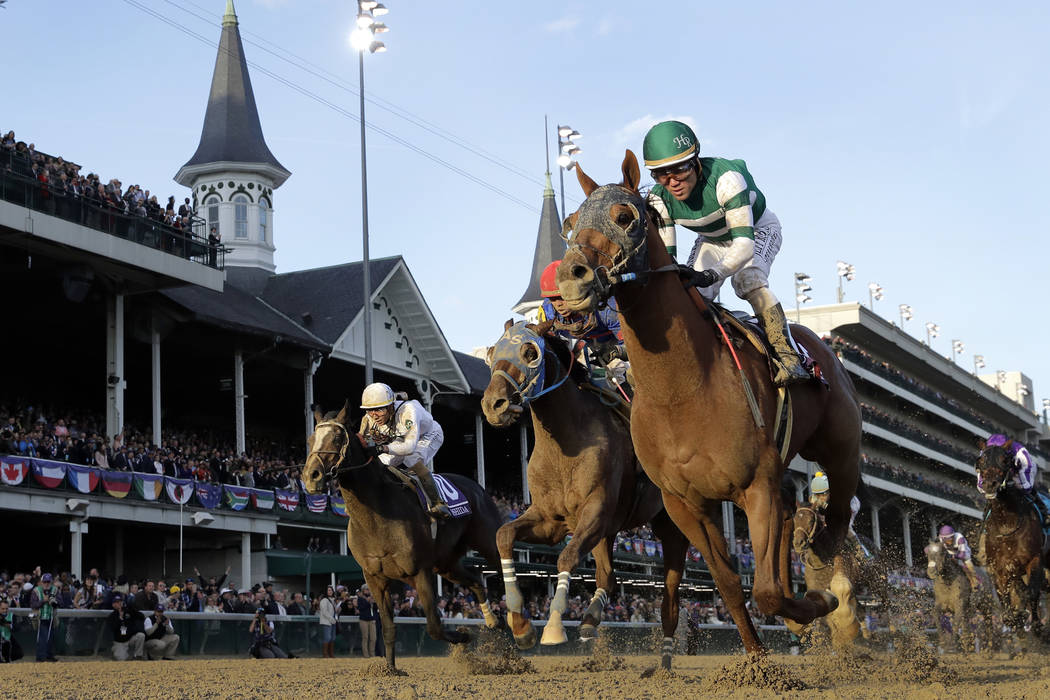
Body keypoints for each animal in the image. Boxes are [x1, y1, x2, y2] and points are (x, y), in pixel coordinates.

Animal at [304, 402, 503, 671]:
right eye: (311, 439)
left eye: (336, 438)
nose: (310, 476)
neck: (377, 513)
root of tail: (478, 488)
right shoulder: (375, 578)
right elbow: (388, 629)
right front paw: (391, 670)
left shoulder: (420, 571)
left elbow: (434, 627)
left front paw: (463, 636)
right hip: (446, 563)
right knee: (476, 582)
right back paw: (492, 621)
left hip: (489, 544)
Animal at [480, 319, 688, 667]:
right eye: (492, 353)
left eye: (530, 352)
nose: (493, 405)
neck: (566, 442)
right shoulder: (549, 519)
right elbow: (503, 535)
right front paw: (520, 624)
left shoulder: (595, 511)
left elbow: (565, 556)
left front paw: (552, 627)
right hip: (608, 532)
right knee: (608, 576)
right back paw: (590, 620)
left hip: (670, 527)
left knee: (670, 597)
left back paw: (665, 663)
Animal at [554, 149, 865, 659]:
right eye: (570, 222)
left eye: (625, 217)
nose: (568, 281)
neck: (681, 390)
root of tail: (822, 347)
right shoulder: (685, 504)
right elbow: (731, 584)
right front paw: (758, 659)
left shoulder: (754, 485)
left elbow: (766, 591)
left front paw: (814, 606)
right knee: (789, 518)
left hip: (841, 453)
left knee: (836, 519)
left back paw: (830, 583)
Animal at [970, 440, 1045, 642]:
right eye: (980, 461)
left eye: (1005, 460)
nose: (989, 485)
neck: (1006, 524)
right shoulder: (998, 568)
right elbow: (1004, 598)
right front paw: (1015, 619)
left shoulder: (1034, 559)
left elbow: (1031, 592)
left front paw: (1034, 625)